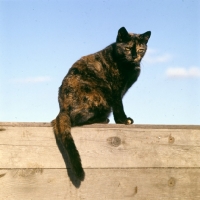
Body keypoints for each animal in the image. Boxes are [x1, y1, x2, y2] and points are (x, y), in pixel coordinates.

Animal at [51, 26, 150, 180]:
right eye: (128, 48)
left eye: (140, 49)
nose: (134, 56)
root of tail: (62, 109)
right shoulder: (116, 89)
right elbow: (119, 106)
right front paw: (123, 120)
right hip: (100, 96)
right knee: (77, 119)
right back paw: (103, 120)